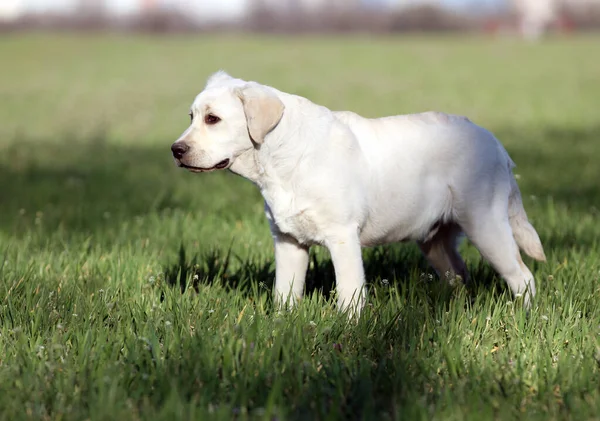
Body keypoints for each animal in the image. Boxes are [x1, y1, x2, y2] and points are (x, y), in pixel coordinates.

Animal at [171, 71, 548, 316]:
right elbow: (284, 293)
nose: (176, 150)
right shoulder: (288, 240)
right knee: (459, 274)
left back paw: (524, 316)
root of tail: (495, 143)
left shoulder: (342, 237)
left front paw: (347, 329)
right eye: (191, 116)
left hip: (487, 226)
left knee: (523, 277)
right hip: (435, 239)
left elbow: (349, 292)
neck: (281, 157)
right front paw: (281, 325)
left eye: (213, 119)